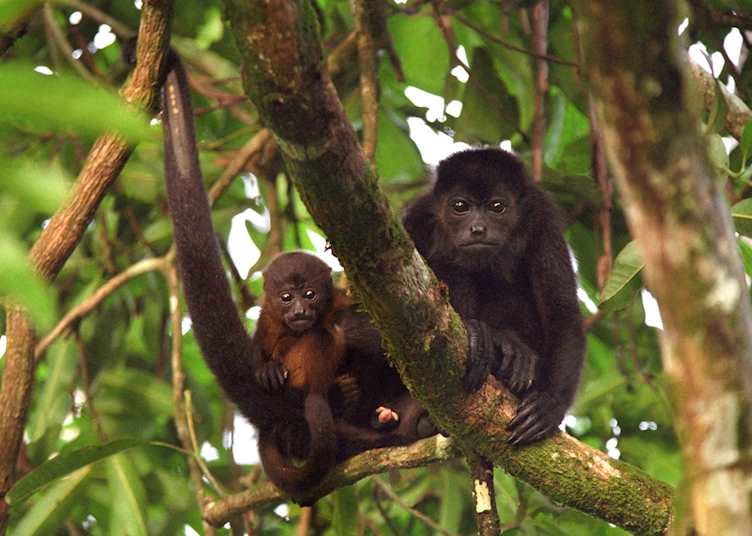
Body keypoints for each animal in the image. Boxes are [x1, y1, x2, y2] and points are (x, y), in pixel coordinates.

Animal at [402, 148, 585, 446]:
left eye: (497, 207)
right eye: (460, 206)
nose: (478, 228)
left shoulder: (543, 219)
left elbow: (562, 309)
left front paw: (550, 403)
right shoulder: (416, 219)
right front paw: (489, 336)